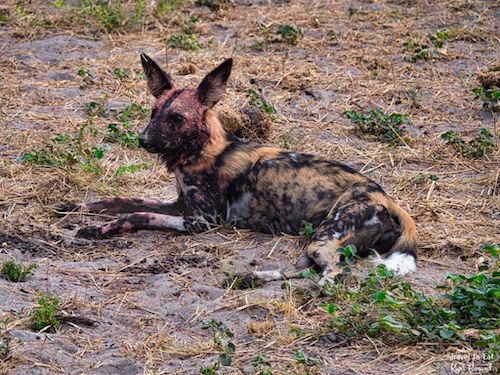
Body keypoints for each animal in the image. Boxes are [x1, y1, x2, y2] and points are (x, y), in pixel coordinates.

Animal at [58, 54, 418, 284]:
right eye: (153, 112)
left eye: (176, 118)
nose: (143, 140)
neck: (201, 153)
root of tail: (388, 199)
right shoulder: (179, 204)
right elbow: (120, 200)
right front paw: (75, 207)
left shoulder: (202, 221)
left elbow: (137, 214)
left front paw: (101, 228)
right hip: (317, 239)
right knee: (308, 268)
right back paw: (253, 277)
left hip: (327, 235)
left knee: (331, 276)